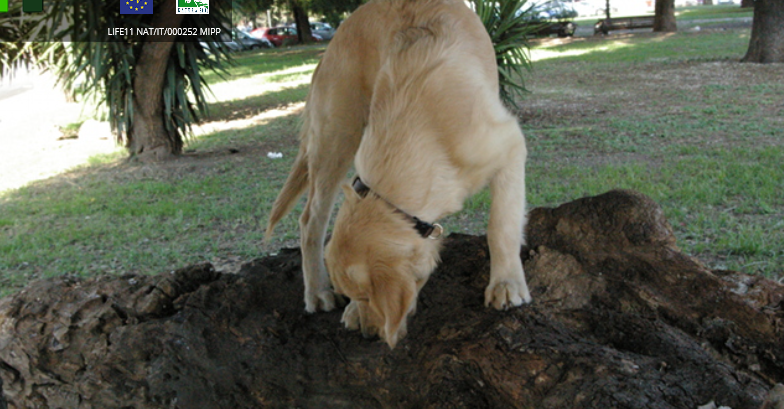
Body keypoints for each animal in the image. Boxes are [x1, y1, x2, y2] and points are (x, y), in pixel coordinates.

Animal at [266, 0, 528, 348]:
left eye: (368, 296)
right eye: (359, 296)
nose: (368, 333)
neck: (423, 128)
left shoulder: (510, 146)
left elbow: (501, 226)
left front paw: (506, 284)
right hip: (336, 136)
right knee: (311, 219)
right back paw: (317, 293)